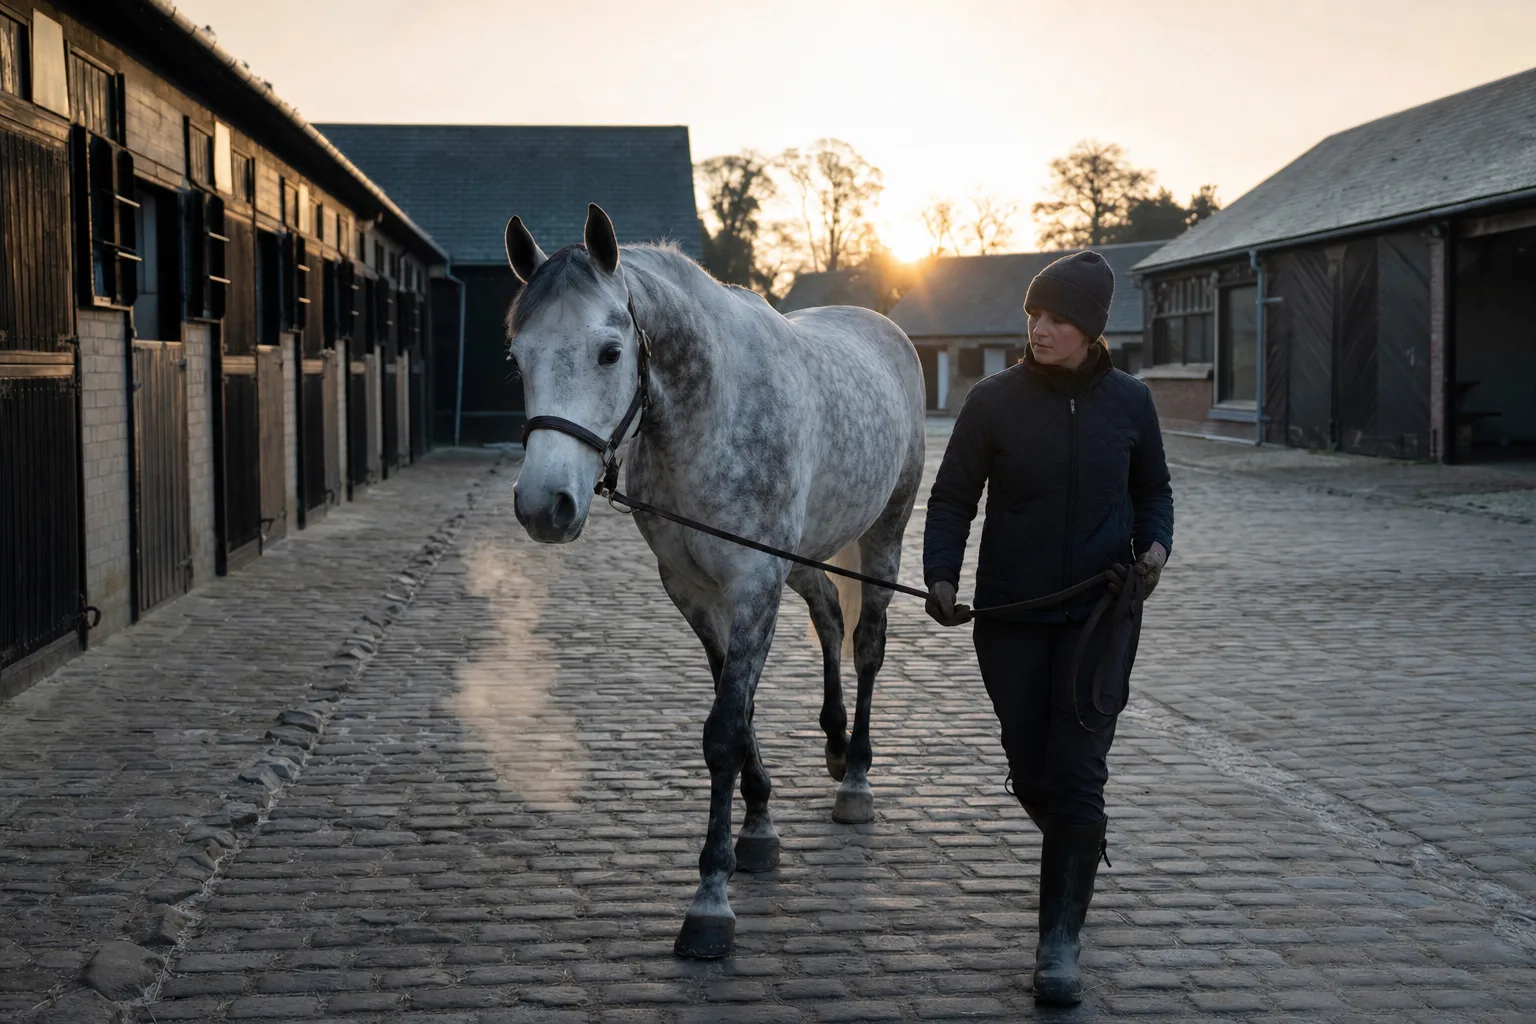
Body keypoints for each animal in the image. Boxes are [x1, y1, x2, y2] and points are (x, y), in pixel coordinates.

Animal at [505, 204, 925, 958]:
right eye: (516, 357)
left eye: (610, 352)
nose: (542, 505)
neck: (712, 415)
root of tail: (884, 329)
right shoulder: (694, 591)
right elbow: (741, 710)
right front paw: (758, 827)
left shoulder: (754, 584)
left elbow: (725, 728)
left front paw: (711, 897)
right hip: (806, 558)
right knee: (828, 616)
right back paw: (832, 742)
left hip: (884, 536)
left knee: (868, 645)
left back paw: (854, 777)